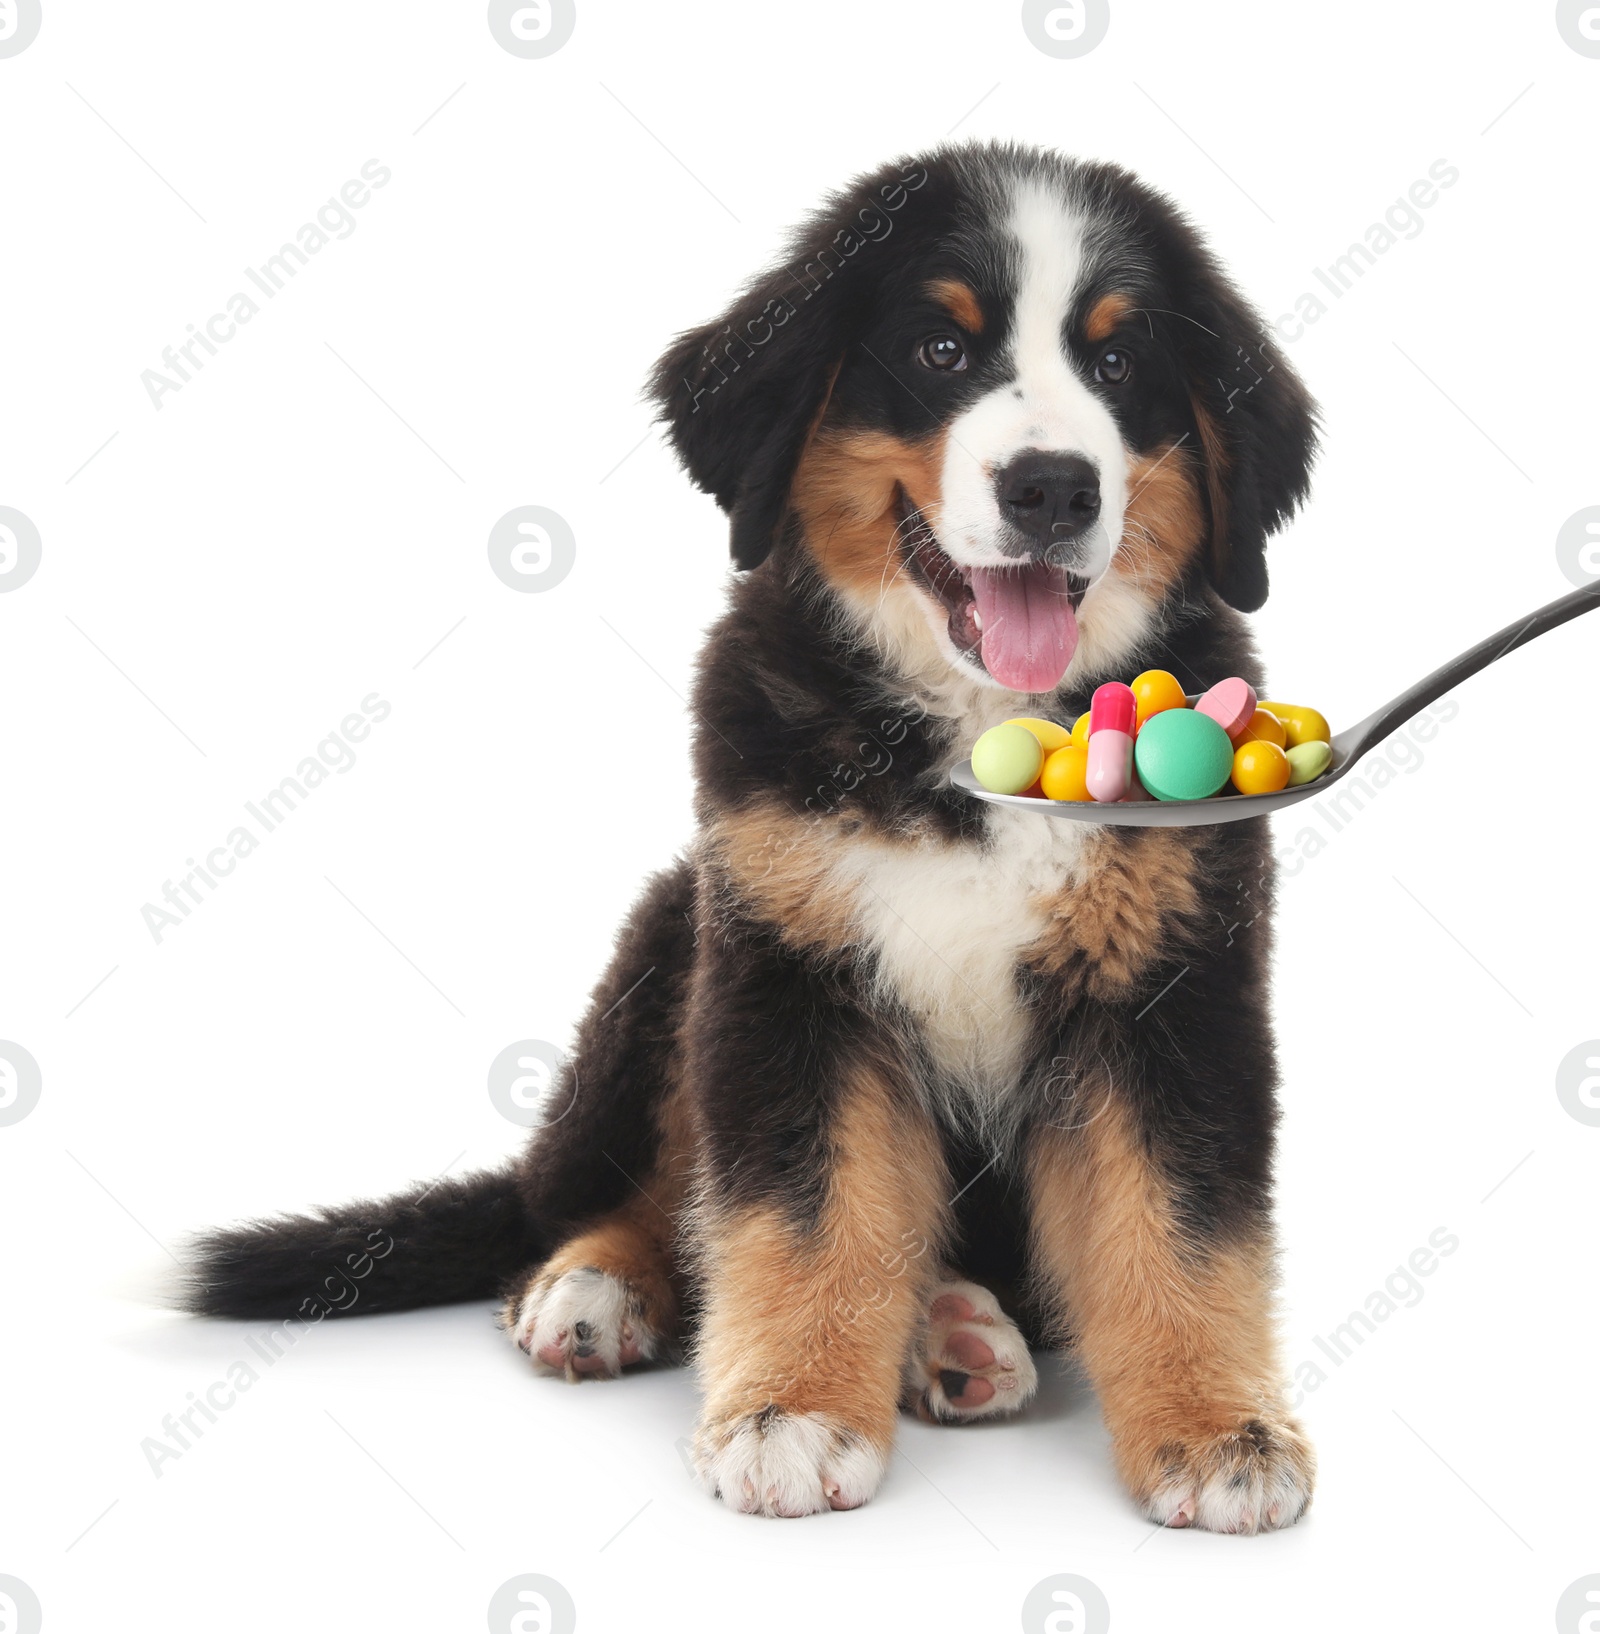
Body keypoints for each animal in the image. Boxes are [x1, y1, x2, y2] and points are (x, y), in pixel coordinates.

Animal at [191, 140, 1313, 1529]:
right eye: (939, 349)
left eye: (1117, 364)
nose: (1053, 485)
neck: (969, 750)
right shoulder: (786, 968)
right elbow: (803, 1207)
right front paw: (790, 1410)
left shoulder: (1173, 983)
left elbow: (1178, 1223)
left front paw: (1218, 1429)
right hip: (669, 945)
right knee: (626, 1195)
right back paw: (595, 1290)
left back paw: (951, 1332)